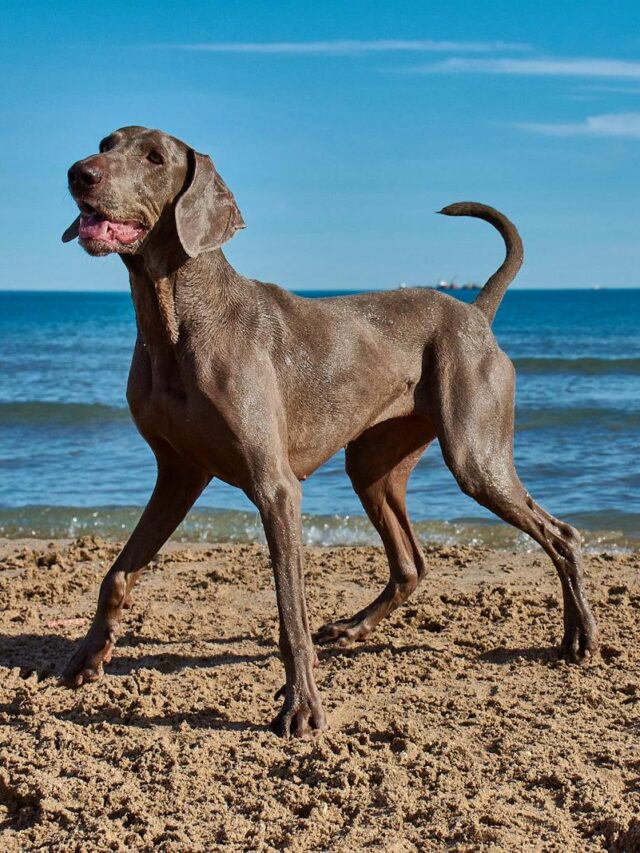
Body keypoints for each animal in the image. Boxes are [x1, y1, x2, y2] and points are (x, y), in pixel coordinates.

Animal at [61, 126, 600, 740]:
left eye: (154, 157)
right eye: (106, 142)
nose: (79, 173)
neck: (175, 319)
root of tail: (474, 313)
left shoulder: (275, 488)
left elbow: (290, 612)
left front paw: (300, 708)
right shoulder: (178, 474)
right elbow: (116, 573)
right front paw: (87, 657)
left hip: (474, 454)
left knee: (561, 534)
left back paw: (580, 636)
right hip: (372, 465)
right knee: (411, 564)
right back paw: (353, 628)